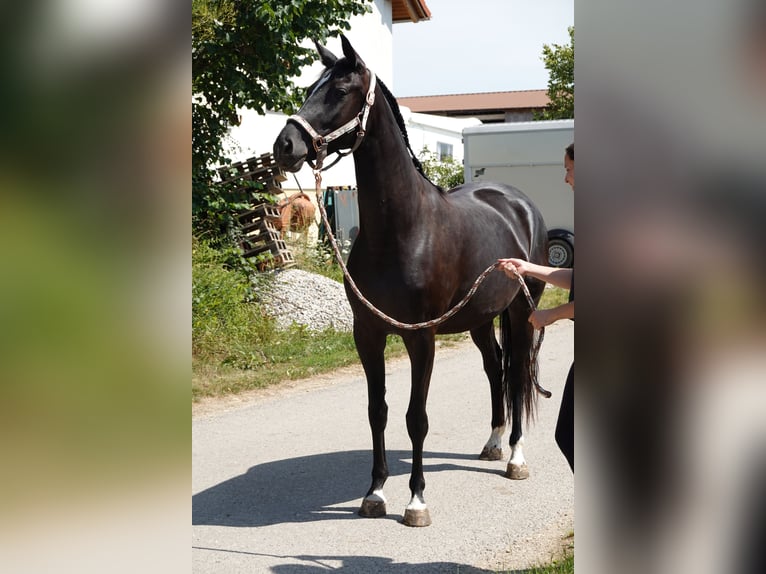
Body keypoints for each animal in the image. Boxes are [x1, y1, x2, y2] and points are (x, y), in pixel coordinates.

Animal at [273, 36, 548, 527]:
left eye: (340, 90)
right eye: (309, 88)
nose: (285, 145)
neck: (402, 229)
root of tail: (519, 203)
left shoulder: (422, 338)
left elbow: (415, 417)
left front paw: (416, 499)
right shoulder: (368, 333)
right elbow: (377, 411)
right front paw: (375, 492)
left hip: (520, 312)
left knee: (516, 373)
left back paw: (516, 457)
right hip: (480, 320)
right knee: (495, 368)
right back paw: (494, 443)